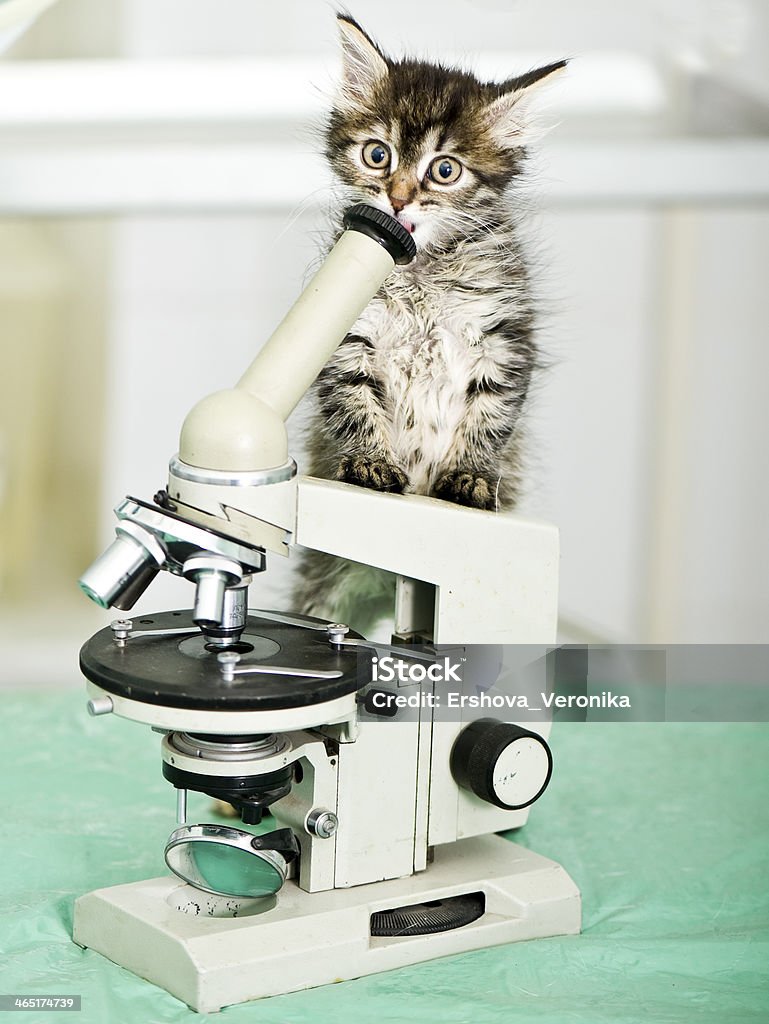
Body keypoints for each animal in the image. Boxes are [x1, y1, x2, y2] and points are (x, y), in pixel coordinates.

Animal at [290, 18, 569, 630]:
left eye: (444, 170)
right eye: (377, 155)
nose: (397, 200)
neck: (424, 271)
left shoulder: (504, 340)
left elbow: (490, 417)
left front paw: (470, 476)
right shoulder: (348, 339)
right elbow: (353, 403)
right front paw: (370, 463)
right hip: (326, 578)